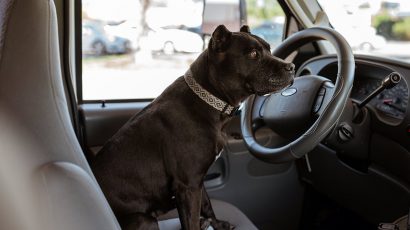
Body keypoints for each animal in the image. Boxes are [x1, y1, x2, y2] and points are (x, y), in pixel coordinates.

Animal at [90, 25, 294, 230]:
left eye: (269, 49)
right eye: (253, 54)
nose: (291, 67)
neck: (209, 98)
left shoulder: (198, 182)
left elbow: (207, 204)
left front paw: (218, 224)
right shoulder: (187, 185)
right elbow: (192, 220)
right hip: (144, 220)